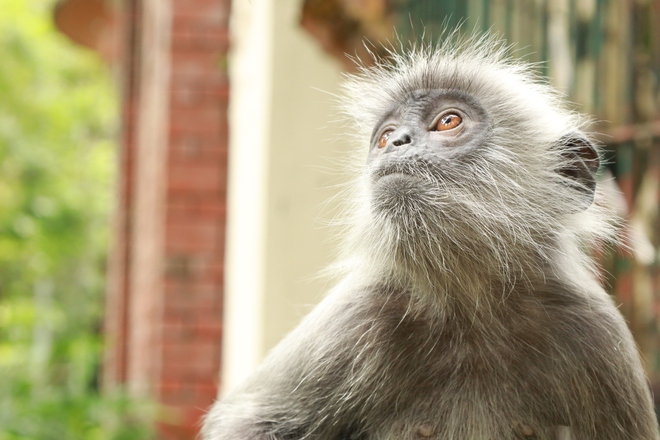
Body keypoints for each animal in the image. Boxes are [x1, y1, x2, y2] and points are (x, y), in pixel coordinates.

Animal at [202, 35, 660, 440]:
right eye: (385, 136)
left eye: (448, 121)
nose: (396, 142)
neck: (474, 305)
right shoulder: (357, 312)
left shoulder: (597, 336)